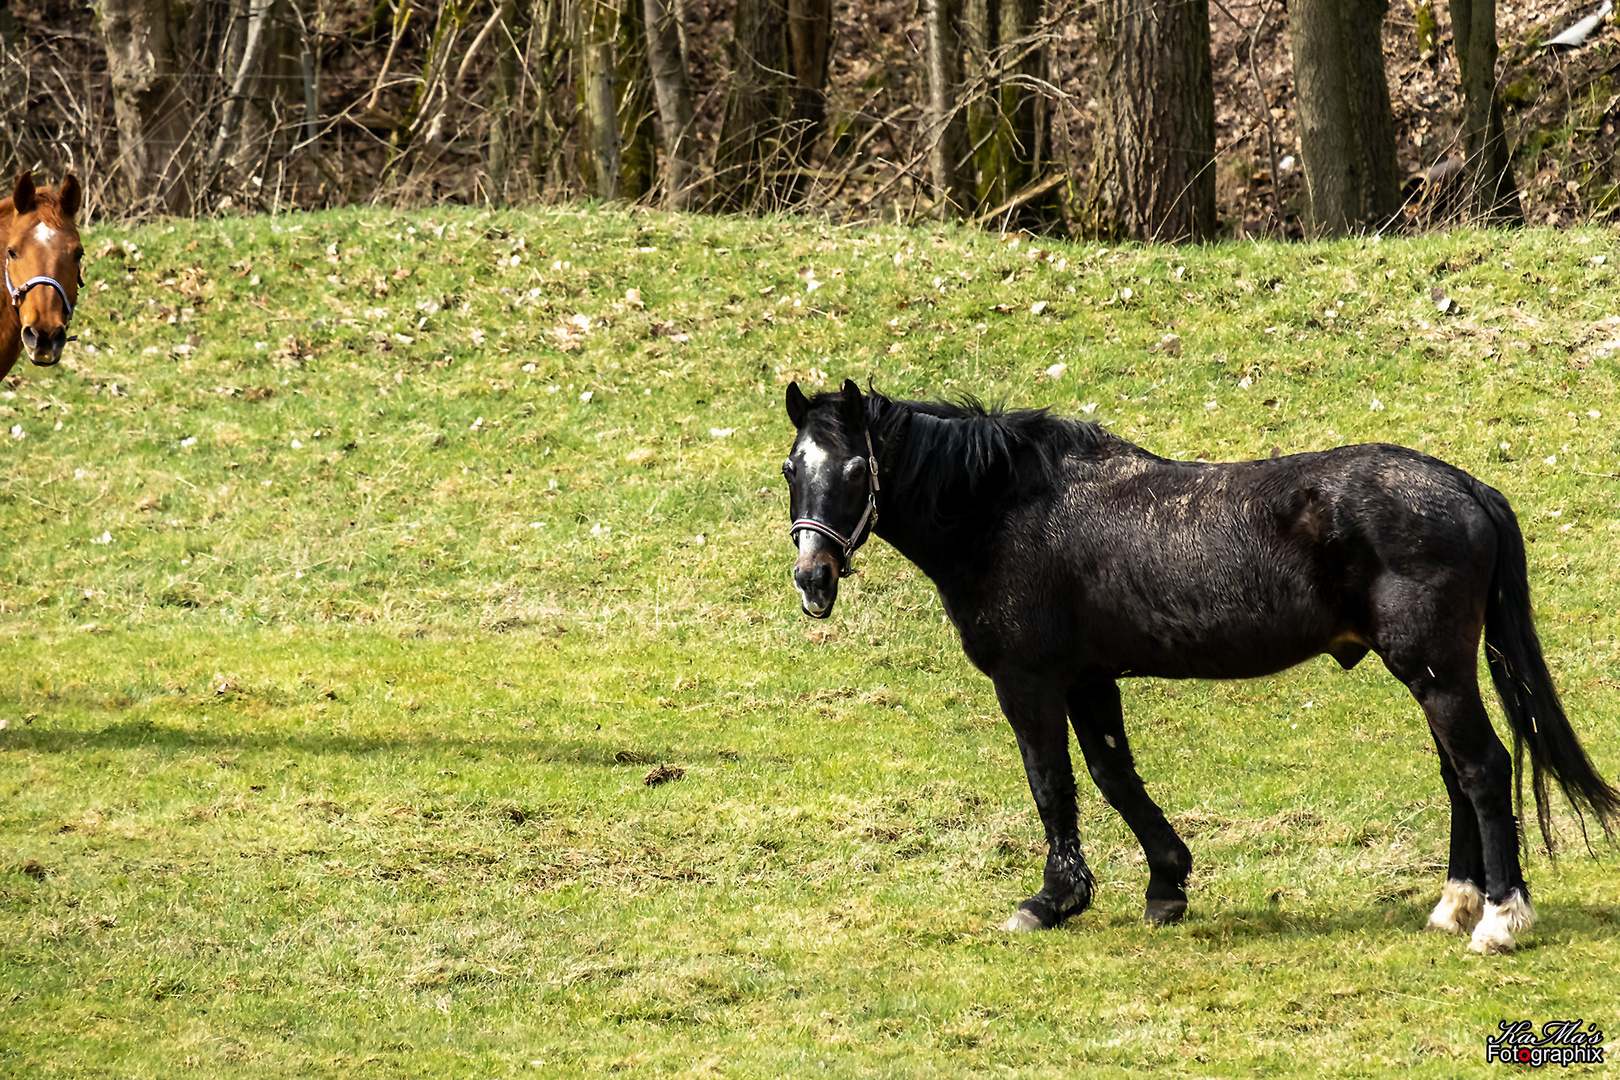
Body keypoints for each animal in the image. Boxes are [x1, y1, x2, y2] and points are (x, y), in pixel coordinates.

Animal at [777, 380, 1613, 952]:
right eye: (792, 468)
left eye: (855, 470)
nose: (813, 579)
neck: (1007, 512)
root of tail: (1465, 486)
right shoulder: (1089, 679)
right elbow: (1114, 776)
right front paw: (1165, 883)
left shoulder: (1030, 680)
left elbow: (1053, 784)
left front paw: (1051, 901)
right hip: (1435, 674)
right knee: (1457, 774)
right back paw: (1454, 905)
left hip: (1434, 669)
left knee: (1483, 769)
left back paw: (1499, 919)